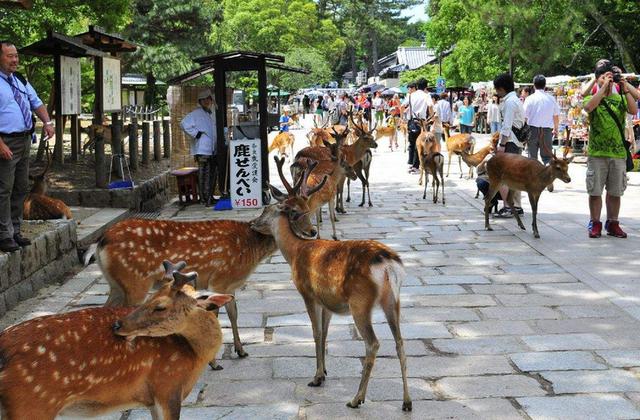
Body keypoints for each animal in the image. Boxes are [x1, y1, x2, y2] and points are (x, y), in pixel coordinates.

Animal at [0, 262, 234, 420]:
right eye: (149, 297)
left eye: (159, 306)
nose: (118, 325)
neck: (193, 355)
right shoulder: (167, 385)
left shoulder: (154, 398)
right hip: (32, 405)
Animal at [84, 167, 322, 364]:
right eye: (294, 211)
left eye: (307, 207)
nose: (313, 231)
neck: (249, 252)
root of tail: (100, 242)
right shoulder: (220, 278)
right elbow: (215, 313)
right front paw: (213, 362)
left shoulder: (230, 286)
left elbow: (233, 313)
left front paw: (241, 350)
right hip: (135, 282)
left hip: (116, 283)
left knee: (104, 309)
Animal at [248, 156, 412, 412]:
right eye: (297, 211)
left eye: (266, 209)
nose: (252, 223)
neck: (295, 252)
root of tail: (388, 264)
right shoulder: (327, 302)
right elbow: (325, 334)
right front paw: (324, 371)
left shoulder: (308, 293)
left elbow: (315, 333)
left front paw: (316, 377)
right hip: (393, 300)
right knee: (400, 342)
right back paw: (406, 402)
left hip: (360, 303)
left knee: (373, 343)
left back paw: (356, 398)